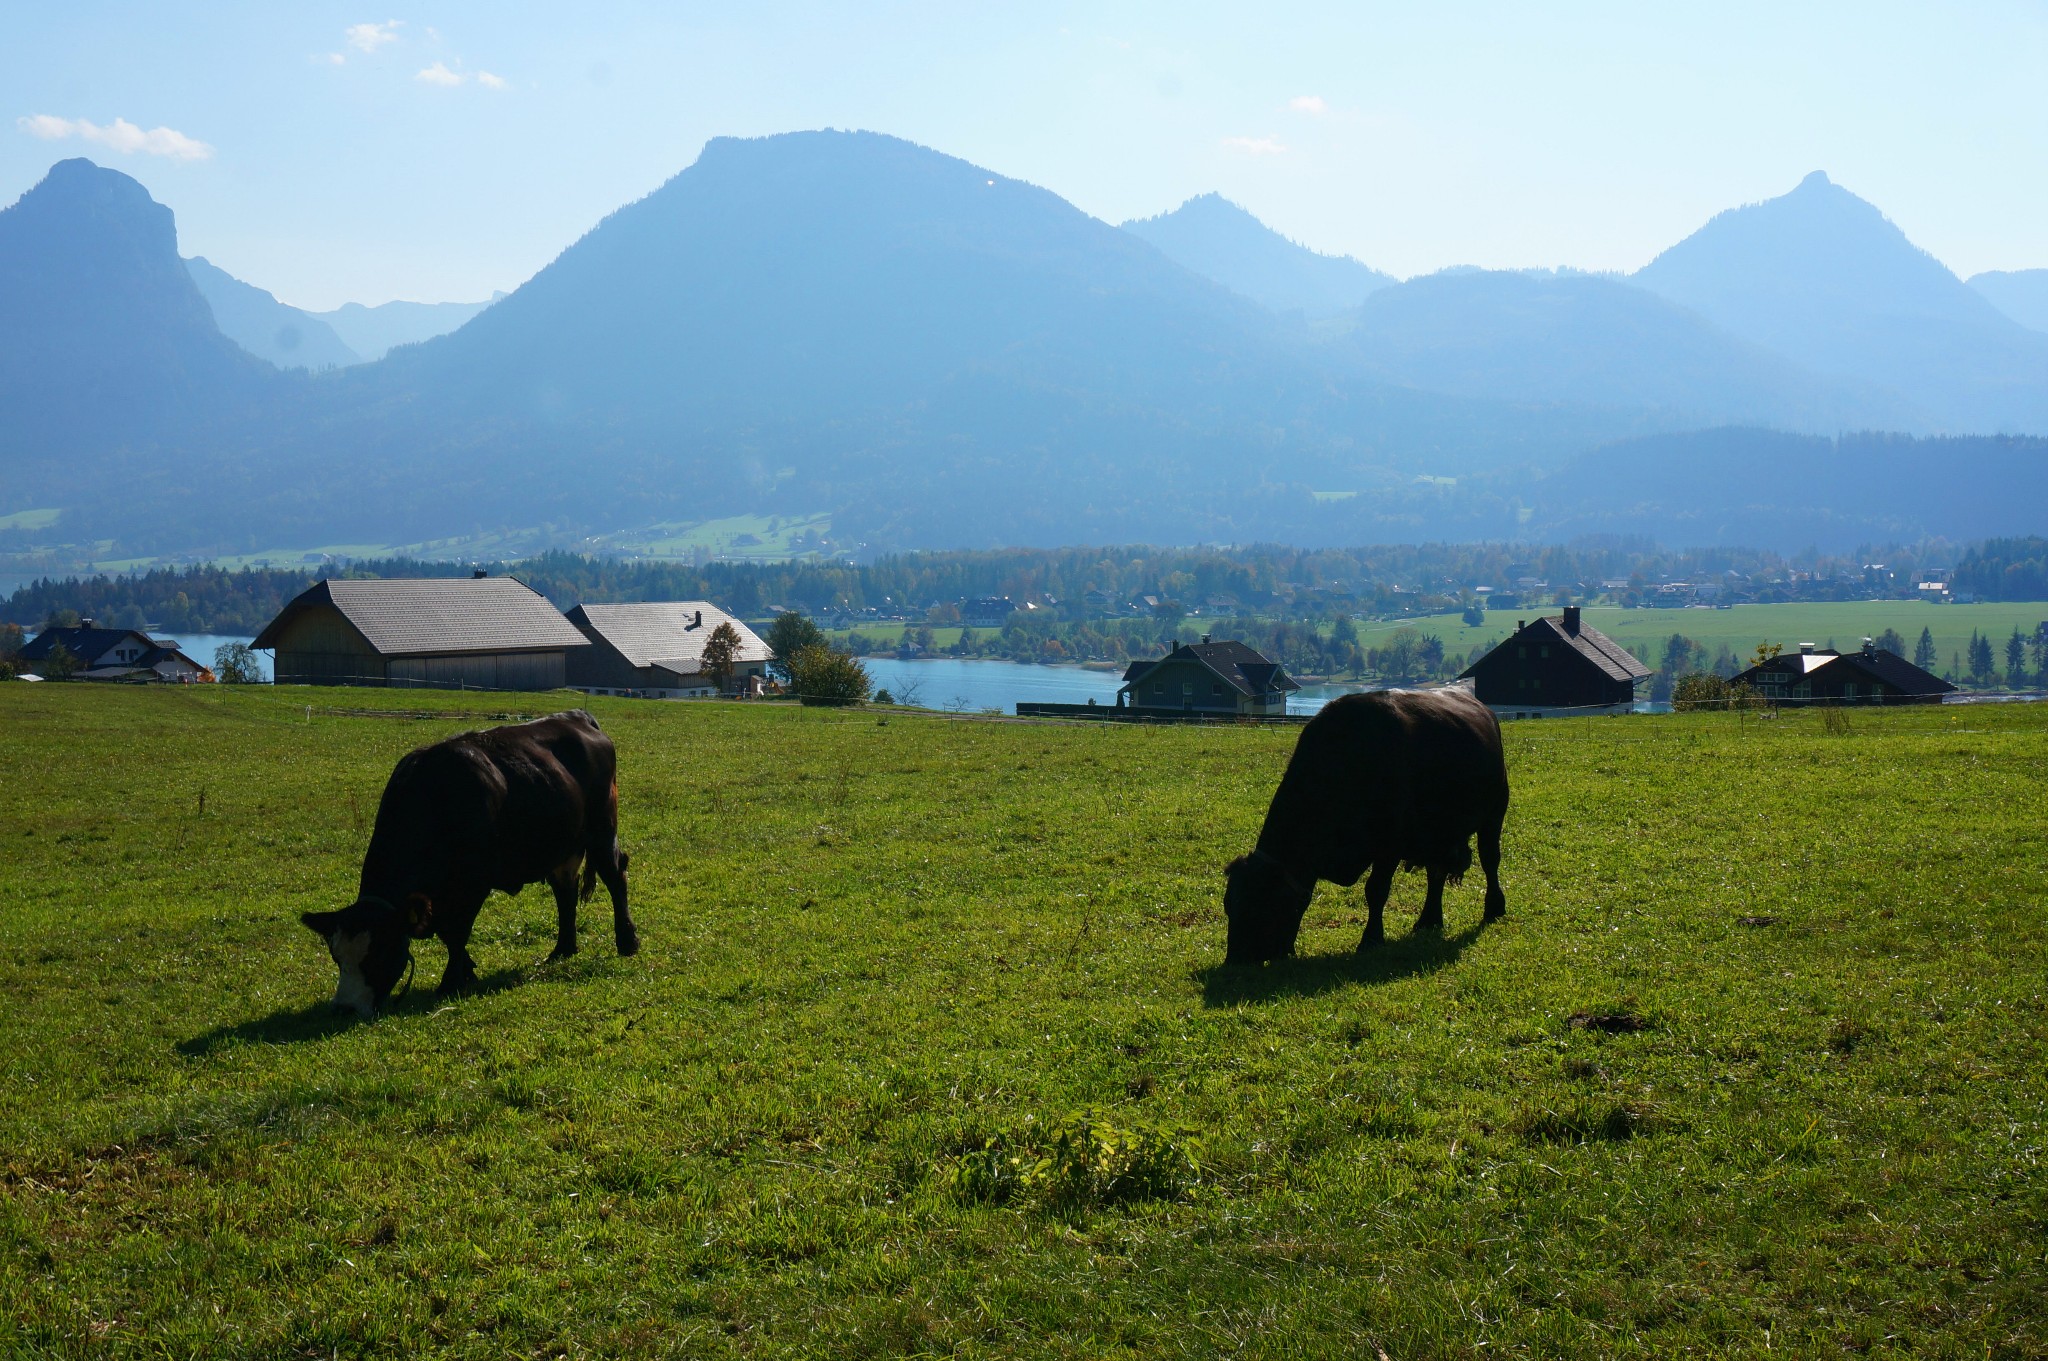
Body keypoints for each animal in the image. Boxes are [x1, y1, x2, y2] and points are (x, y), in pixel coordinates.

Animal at [299, 704, 634, 1015]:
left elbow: (457, 931)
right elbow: (448, 933)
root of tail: (577, 716)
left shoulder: (473, 883)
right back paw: (563, 948)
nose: (345, 1008)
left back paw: (627, 941)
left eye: (377, 954)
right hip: (562, 846)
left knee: (615, 876)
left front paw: (450, 981)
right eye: (336, 957)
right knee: (565, 891)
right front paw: (466, 970)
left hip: (602, 830)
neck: (434, 799)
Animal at [1220, 691, 1515, 966]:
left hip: (1495, 813)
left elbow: (1376, 891)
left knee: (1490, 861)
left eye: (1258, 907)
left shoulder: (1388, 848)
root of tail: (1484, 710)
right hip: (1439, 835)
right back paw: (1428, 920)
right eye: (1229, 905)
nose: (1234, 960)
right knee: (1436, 873)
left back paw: (1493, 908)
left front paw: (1371, 939)